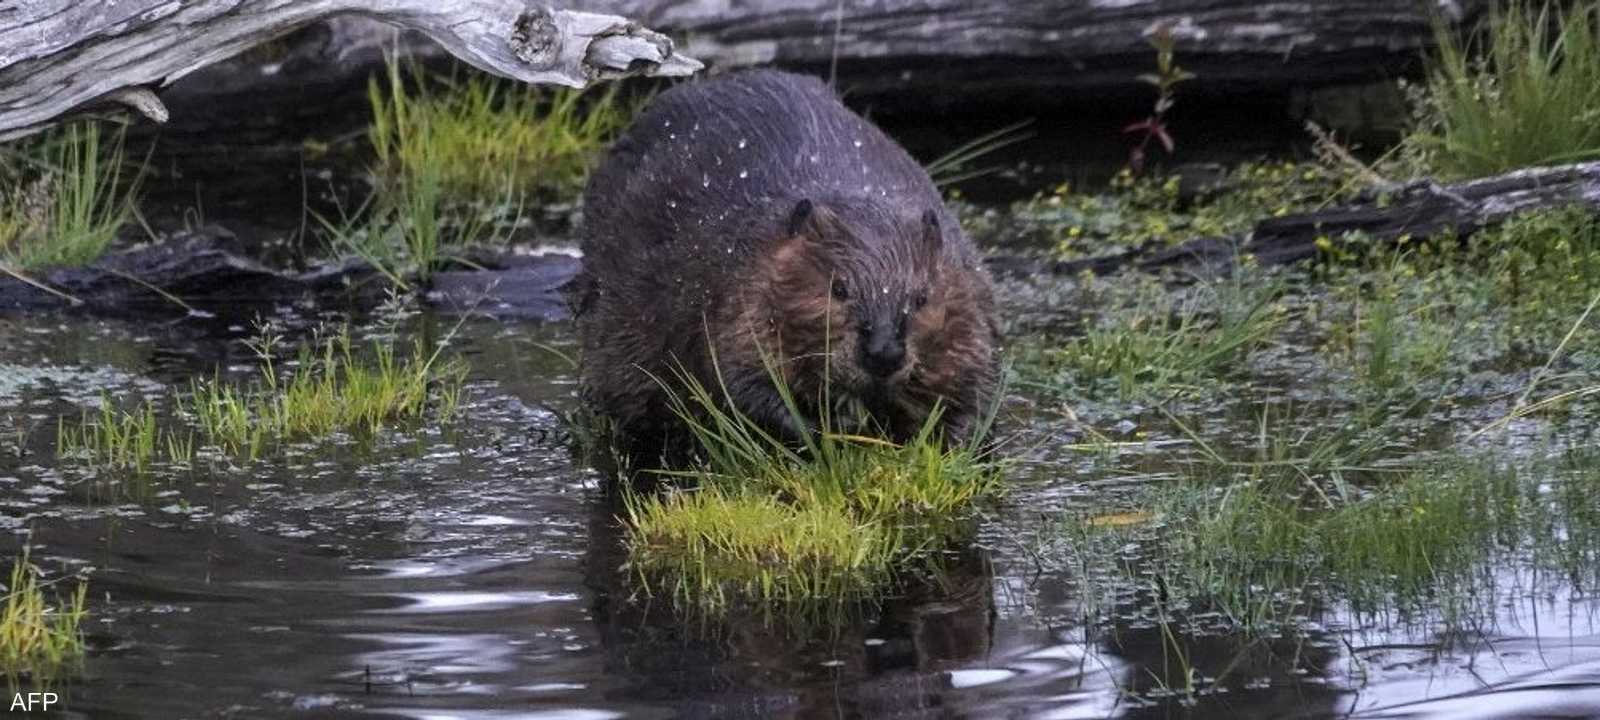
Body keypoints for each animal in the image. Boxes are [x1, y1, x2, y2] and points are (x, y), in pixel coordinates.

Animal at [576, 71, 998, 454]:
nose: (883, 353)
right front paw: (828, 432)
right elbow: (738, 382)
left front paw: (949, 442)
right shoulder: (736, 288)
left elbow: (977, 388)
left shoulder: (968, 293)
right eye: (839, 288)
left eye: (922, 297)